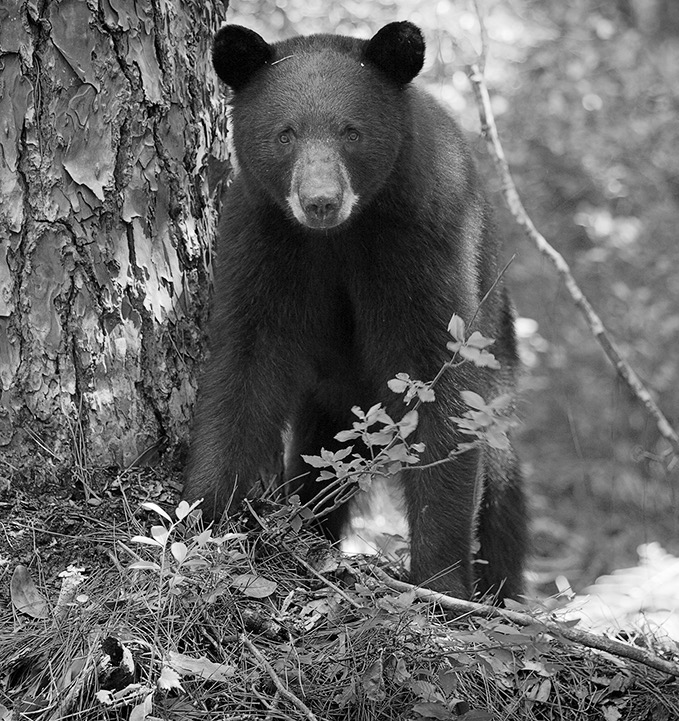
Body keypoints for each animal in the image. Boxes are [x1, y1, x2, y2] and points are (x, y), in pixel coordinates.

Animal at [182, 20, 527, 601]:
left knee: (501, 484)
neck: (339, 237)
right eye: (285, 133)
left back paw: (501, 590)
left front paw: (442, 583)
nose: (320, 201)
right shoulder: (263, 238)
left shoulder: (421, 236)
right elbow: (246, 363)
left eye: (351, 132)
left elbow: (438, 380)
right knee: (319, 459)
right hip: (334, 409)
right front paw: (204, 518)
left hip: (498, 351)